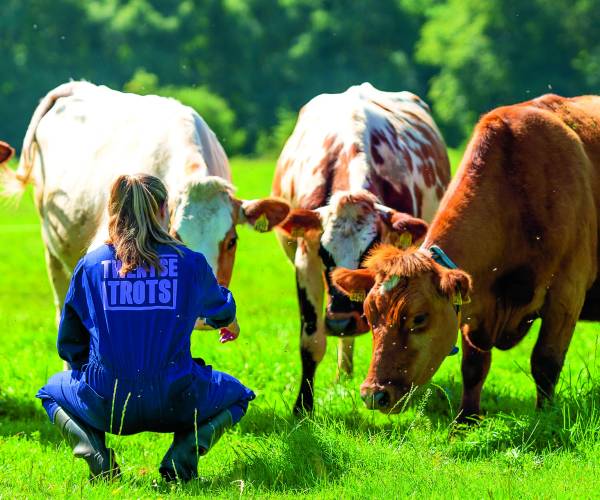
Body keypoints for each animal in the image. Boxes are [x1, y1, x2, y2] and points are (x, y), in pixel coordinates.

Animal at [272, 81, 450, 410]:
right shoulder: (306, 261)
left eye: (369, 253)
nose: (342, 322)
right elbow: (311, 341)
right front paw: (303, 406)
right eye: (325, 254)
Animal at [332, 94, 600, 418]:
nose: (374, 395)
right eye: (370, 315)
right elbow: (474, 366)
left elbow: (545, 362)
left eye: (419, 318)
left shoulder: (566, 295)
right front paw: (467, 418)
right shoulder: (475, 302)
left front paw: (544, 416)